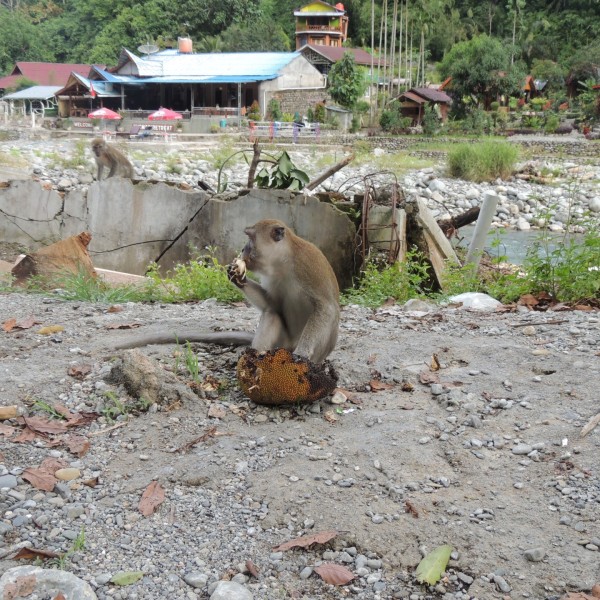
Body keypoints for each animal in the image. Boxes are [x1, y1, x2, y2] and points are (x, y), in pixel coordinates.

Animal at [112, 219, 338, 364]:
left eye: (250, 239)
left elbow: (324, 308)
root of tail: (287, 347)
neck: (283, 262)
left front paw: (303, 353)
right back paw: (254, 356)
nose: (243, 250)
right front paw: (237, 277)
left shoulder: (308, 265)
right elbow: (273, 305)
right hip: (280, 343)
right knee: (272, 315)